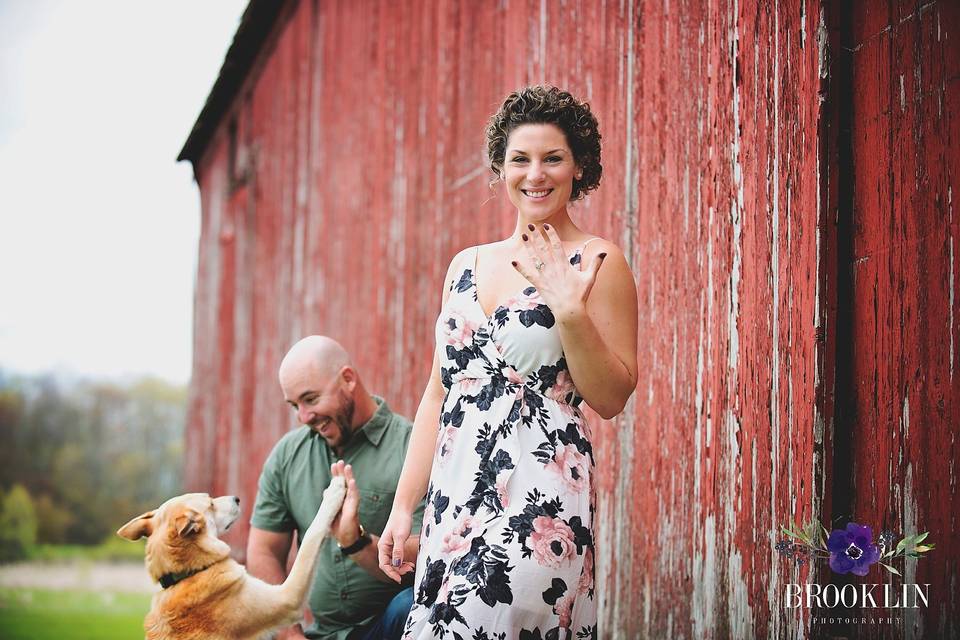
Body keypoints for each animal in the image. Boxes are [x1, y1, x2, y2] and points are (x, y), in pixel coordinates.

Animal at [117, 478, 344, 636]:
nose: (237, 498)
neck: (188, 574)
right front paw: (335, 490)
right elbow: (312, 535)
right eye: (210, 504)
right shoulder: (288, 598)